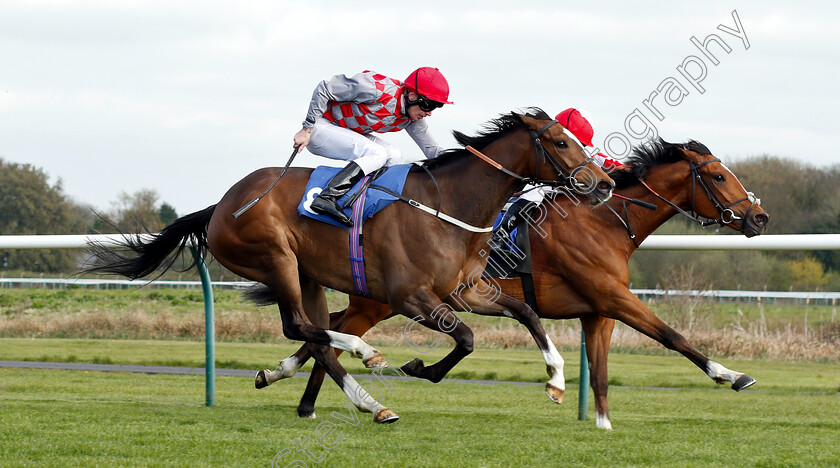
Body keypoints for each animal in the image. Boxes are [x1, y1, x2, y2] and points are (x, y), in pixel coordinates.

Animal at [82, 109, 612, 424]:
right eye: (561, 142)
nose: (604, 183)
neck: (452, 205)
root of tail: (220, 206)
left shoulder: (466, 291)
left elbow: (526, 314)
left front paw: (557, 380)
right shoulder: (409, 296)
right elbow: (466, 338)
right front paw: (420, 367)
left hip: (308, 275)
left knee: (317, 333)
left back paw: (361, 399)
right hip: (276, 258)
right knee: (302, 327)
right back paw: (365, 359)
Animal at [260, 136, 768, 428]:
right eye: (719, 175)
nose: (759, 217)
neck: (604, 221)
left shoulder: (598, 312)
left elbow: (602, 372)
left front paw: (601, 424)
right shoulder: (613, 297)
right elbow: (672, 336)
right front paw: (731, 375)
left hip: (381, 301)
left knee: (328, 327)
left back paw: (292, 385)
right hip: (384, 300)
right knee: (332, 329)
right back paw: (308, 387)